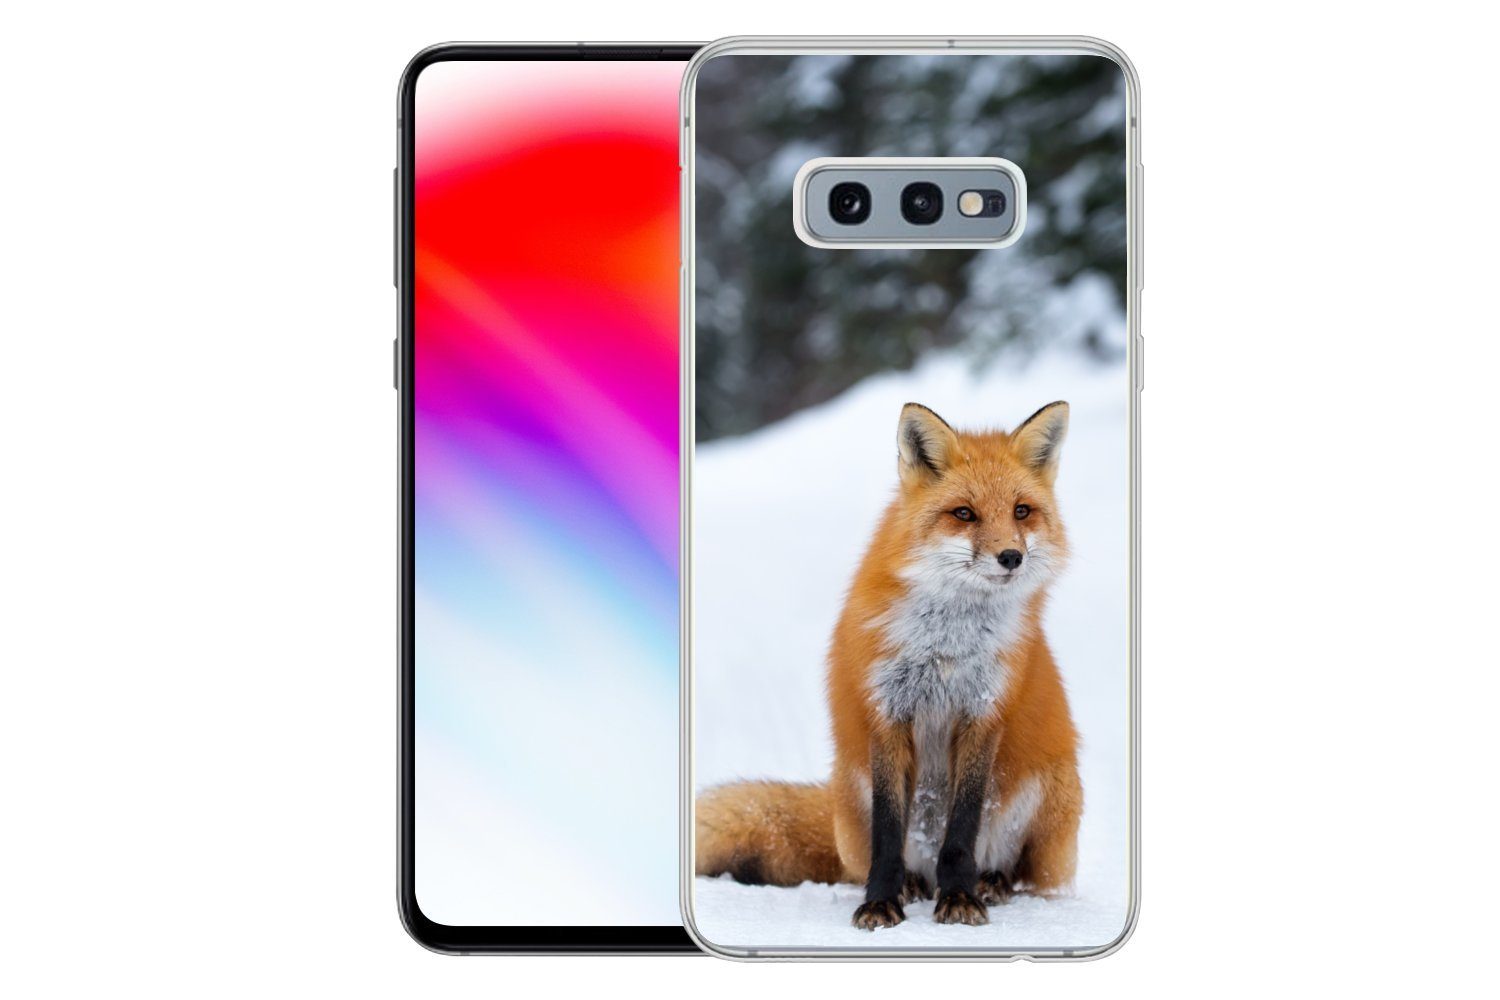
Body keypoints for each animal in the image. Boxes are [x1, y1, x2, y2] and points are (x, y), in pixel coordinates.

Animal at [696, 400, 1082, 929]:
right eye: (964, 514)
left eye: (1021, 510)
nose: (1011, 557)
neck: (946, 646)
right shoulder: (887, 711)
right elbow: (887, 833)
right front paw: (881, 901)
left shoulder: (983, 714)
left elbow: (961, 831)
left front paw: (959, 897)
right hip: (850, 789)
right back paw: (915, 884)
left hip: (1051, 792)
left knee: (1020, 872)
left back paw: (989, 882)